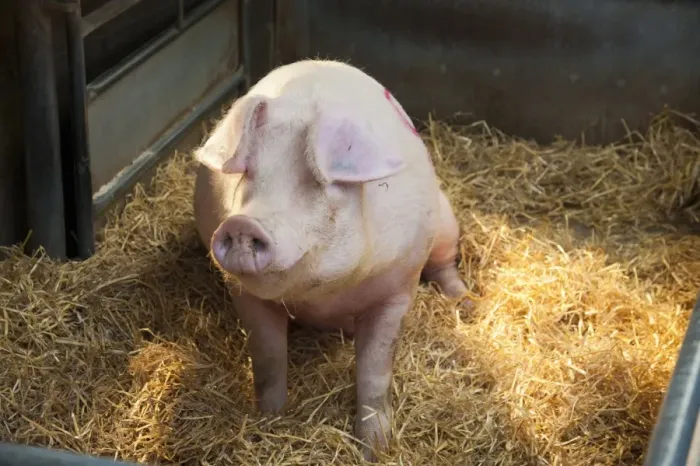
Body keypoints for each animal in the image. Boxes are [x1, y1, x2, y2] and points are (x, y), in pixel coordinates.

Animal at [193, 59, 467, 461]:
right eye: (247, 177)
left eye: (319, 184)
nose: (242, 224)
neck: (323, 297)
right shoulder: (245, 295)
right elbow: (268, 357)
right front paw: (269, 418)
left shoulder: (397, 287)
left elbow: (375, 369)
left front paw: (375, 449)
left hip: (445, 223)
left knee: (445, 264)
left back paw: (464, 301)